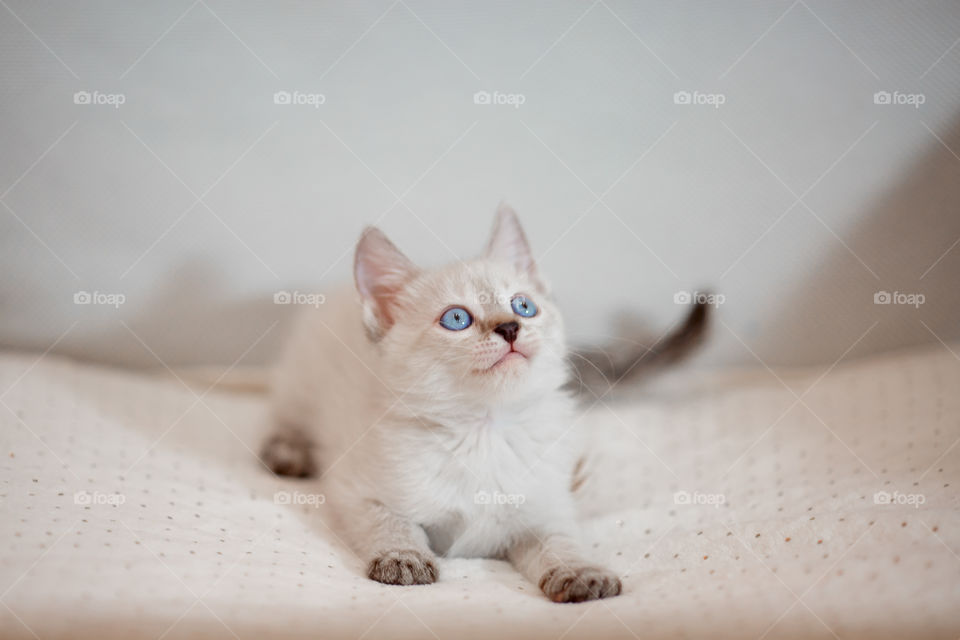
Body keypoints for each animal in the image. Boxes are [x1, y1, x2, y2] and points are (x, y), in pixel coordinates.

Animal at [262, 204, 704, 600]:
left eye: (523, 306)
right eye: (457, 319)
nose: (510, 327)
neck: (484, 429)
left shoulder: (542, 510)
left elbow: (559, 541)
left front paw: (582, 574)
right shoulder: (356, 488)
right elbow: (389, 521)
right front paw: (403, 558)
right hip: (299, 383)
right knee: (286, 419)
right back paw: (287, 453)